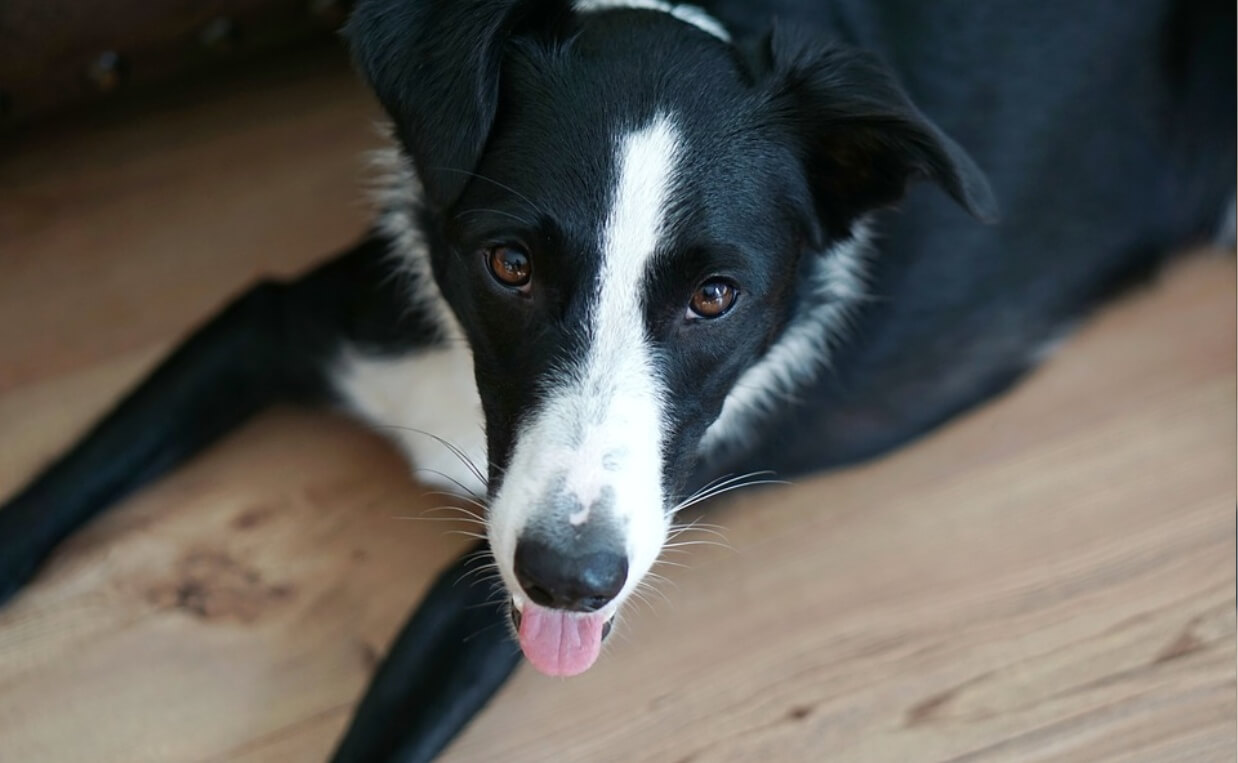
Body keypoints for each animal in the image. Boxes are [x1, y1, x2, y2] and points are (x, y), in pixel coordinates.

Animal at [2, 0, 1238, 758]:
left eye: (715, 297)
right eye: (508, 263)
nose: (571, 578)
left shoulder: (502, 585)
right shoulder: (268, 326)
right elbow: (50, 497)